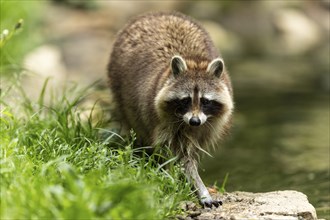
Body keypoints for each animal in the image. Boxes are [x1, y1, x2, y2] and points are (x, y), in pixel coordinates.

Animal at [107, 11, 233, 208]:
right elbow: (181, 156)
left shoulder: (209, 125)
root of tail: (155, 14)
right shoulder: (165, 122)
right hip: (119, 86)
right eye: (186, 100)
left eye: (205, 101)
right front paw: (198, 186)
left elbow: (190, 154)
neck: (194, 60)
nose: (195, 121)